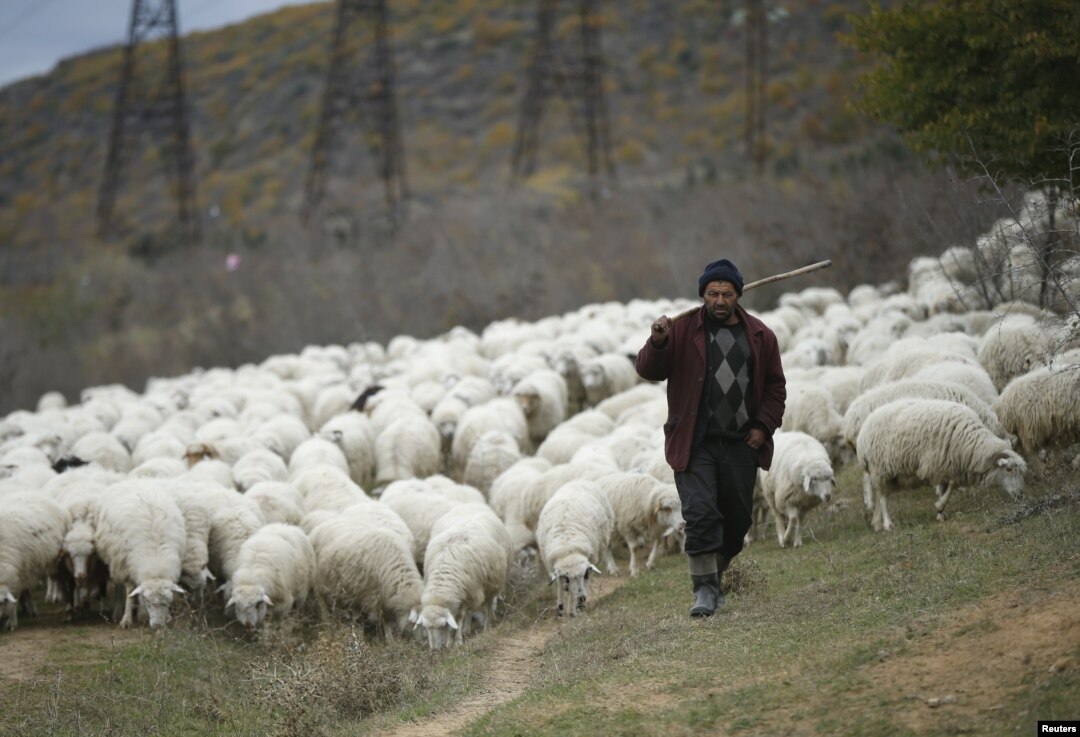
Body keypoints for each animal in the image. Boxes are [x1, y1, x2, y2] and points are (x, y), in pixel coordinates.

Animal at [533, 479, 613, 618]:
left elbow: (574, 590)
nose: (582, 599)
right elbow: (561, 585)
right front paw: (560, 609)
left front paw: (575, 610)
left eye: (585, 574)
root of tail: (580, 480)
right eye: (567, 578)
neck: (568, 549)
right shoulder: (555, 568)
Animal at [855, 399, 1023, 531]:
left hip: (889, 475)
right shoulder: (938, 464)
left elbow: (947, 486)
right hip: (880, 469)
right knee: (883, 498)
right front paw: (940, 506)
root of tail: (863, 433)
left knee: (880, 495)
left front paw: (941, 513)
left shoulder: (946, 464)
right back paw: (887, 524)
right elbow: (952, 485)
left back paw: (876, 523)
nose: (1020, 494)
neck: (970, 441)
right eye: (1008, 469)